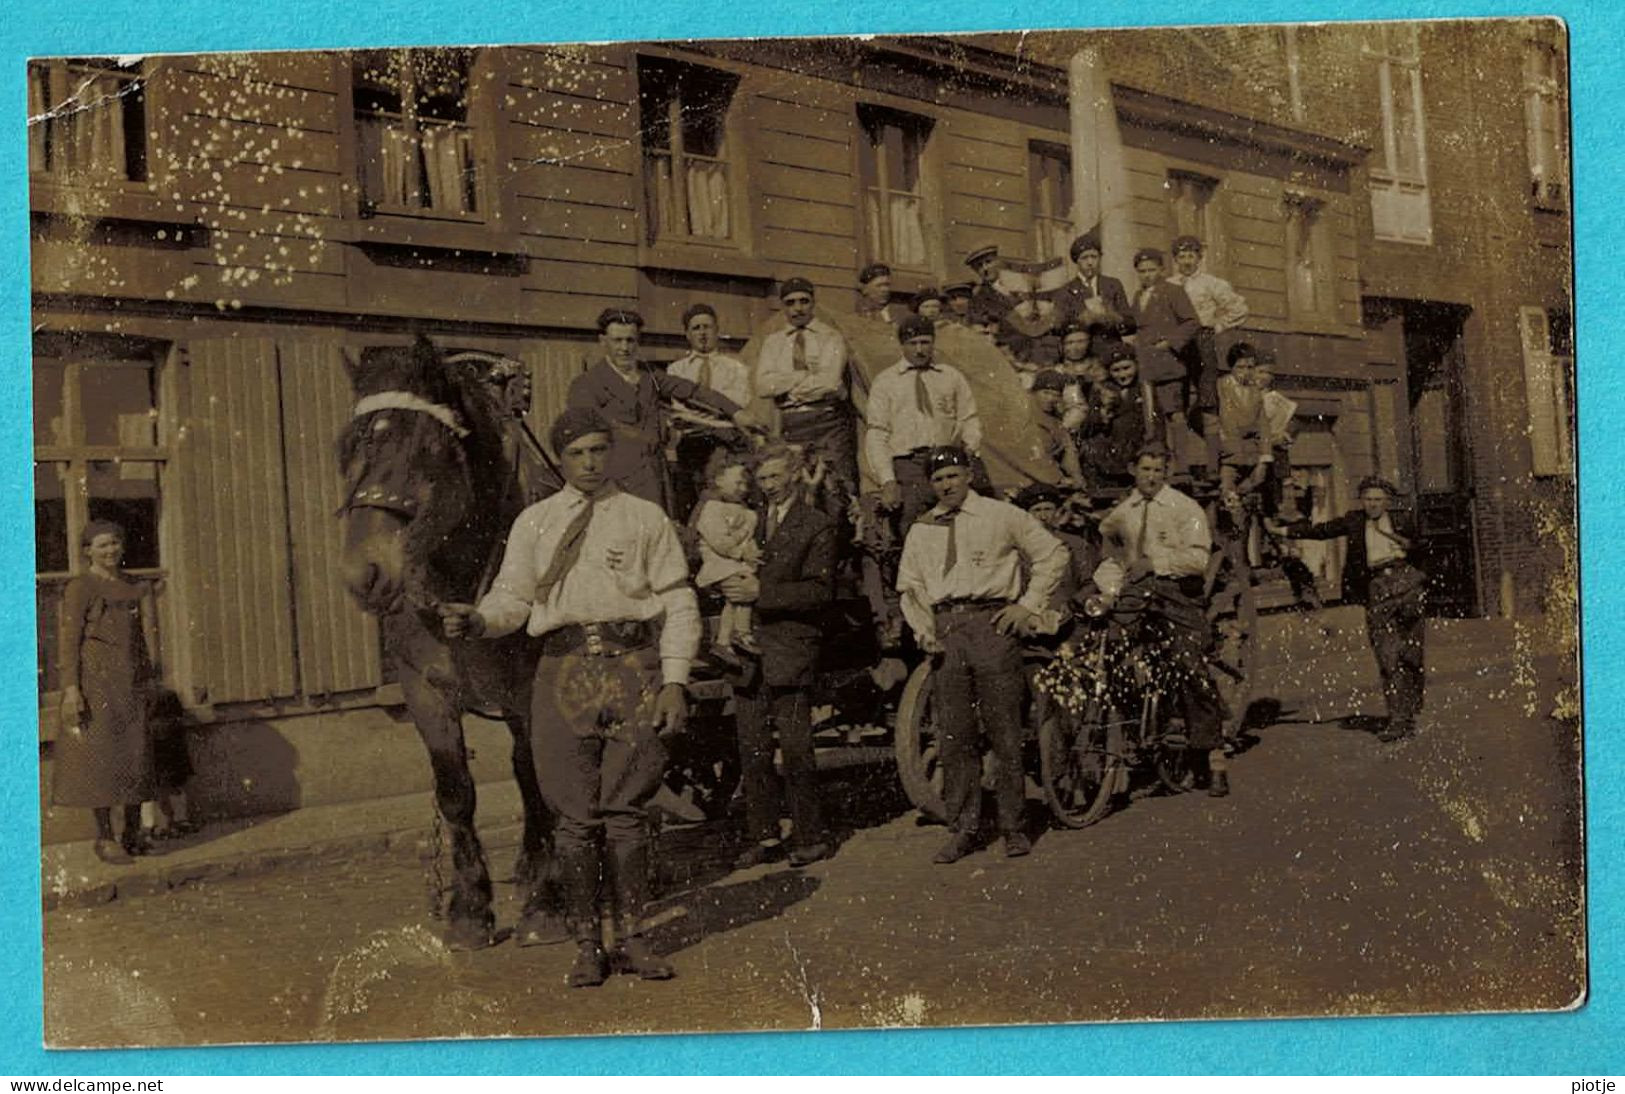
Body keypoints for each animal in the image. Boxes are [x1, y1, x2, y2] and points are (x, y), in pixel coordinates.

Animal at [336, 336, 565, 949]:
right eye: (347, 448)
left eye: (426, 445)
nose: (363, 573)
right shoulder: (425, 689)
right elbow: (457, 791)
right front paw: (469, 908)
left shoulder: (531, 689)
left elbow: (534, 778)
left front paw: (546, 905)